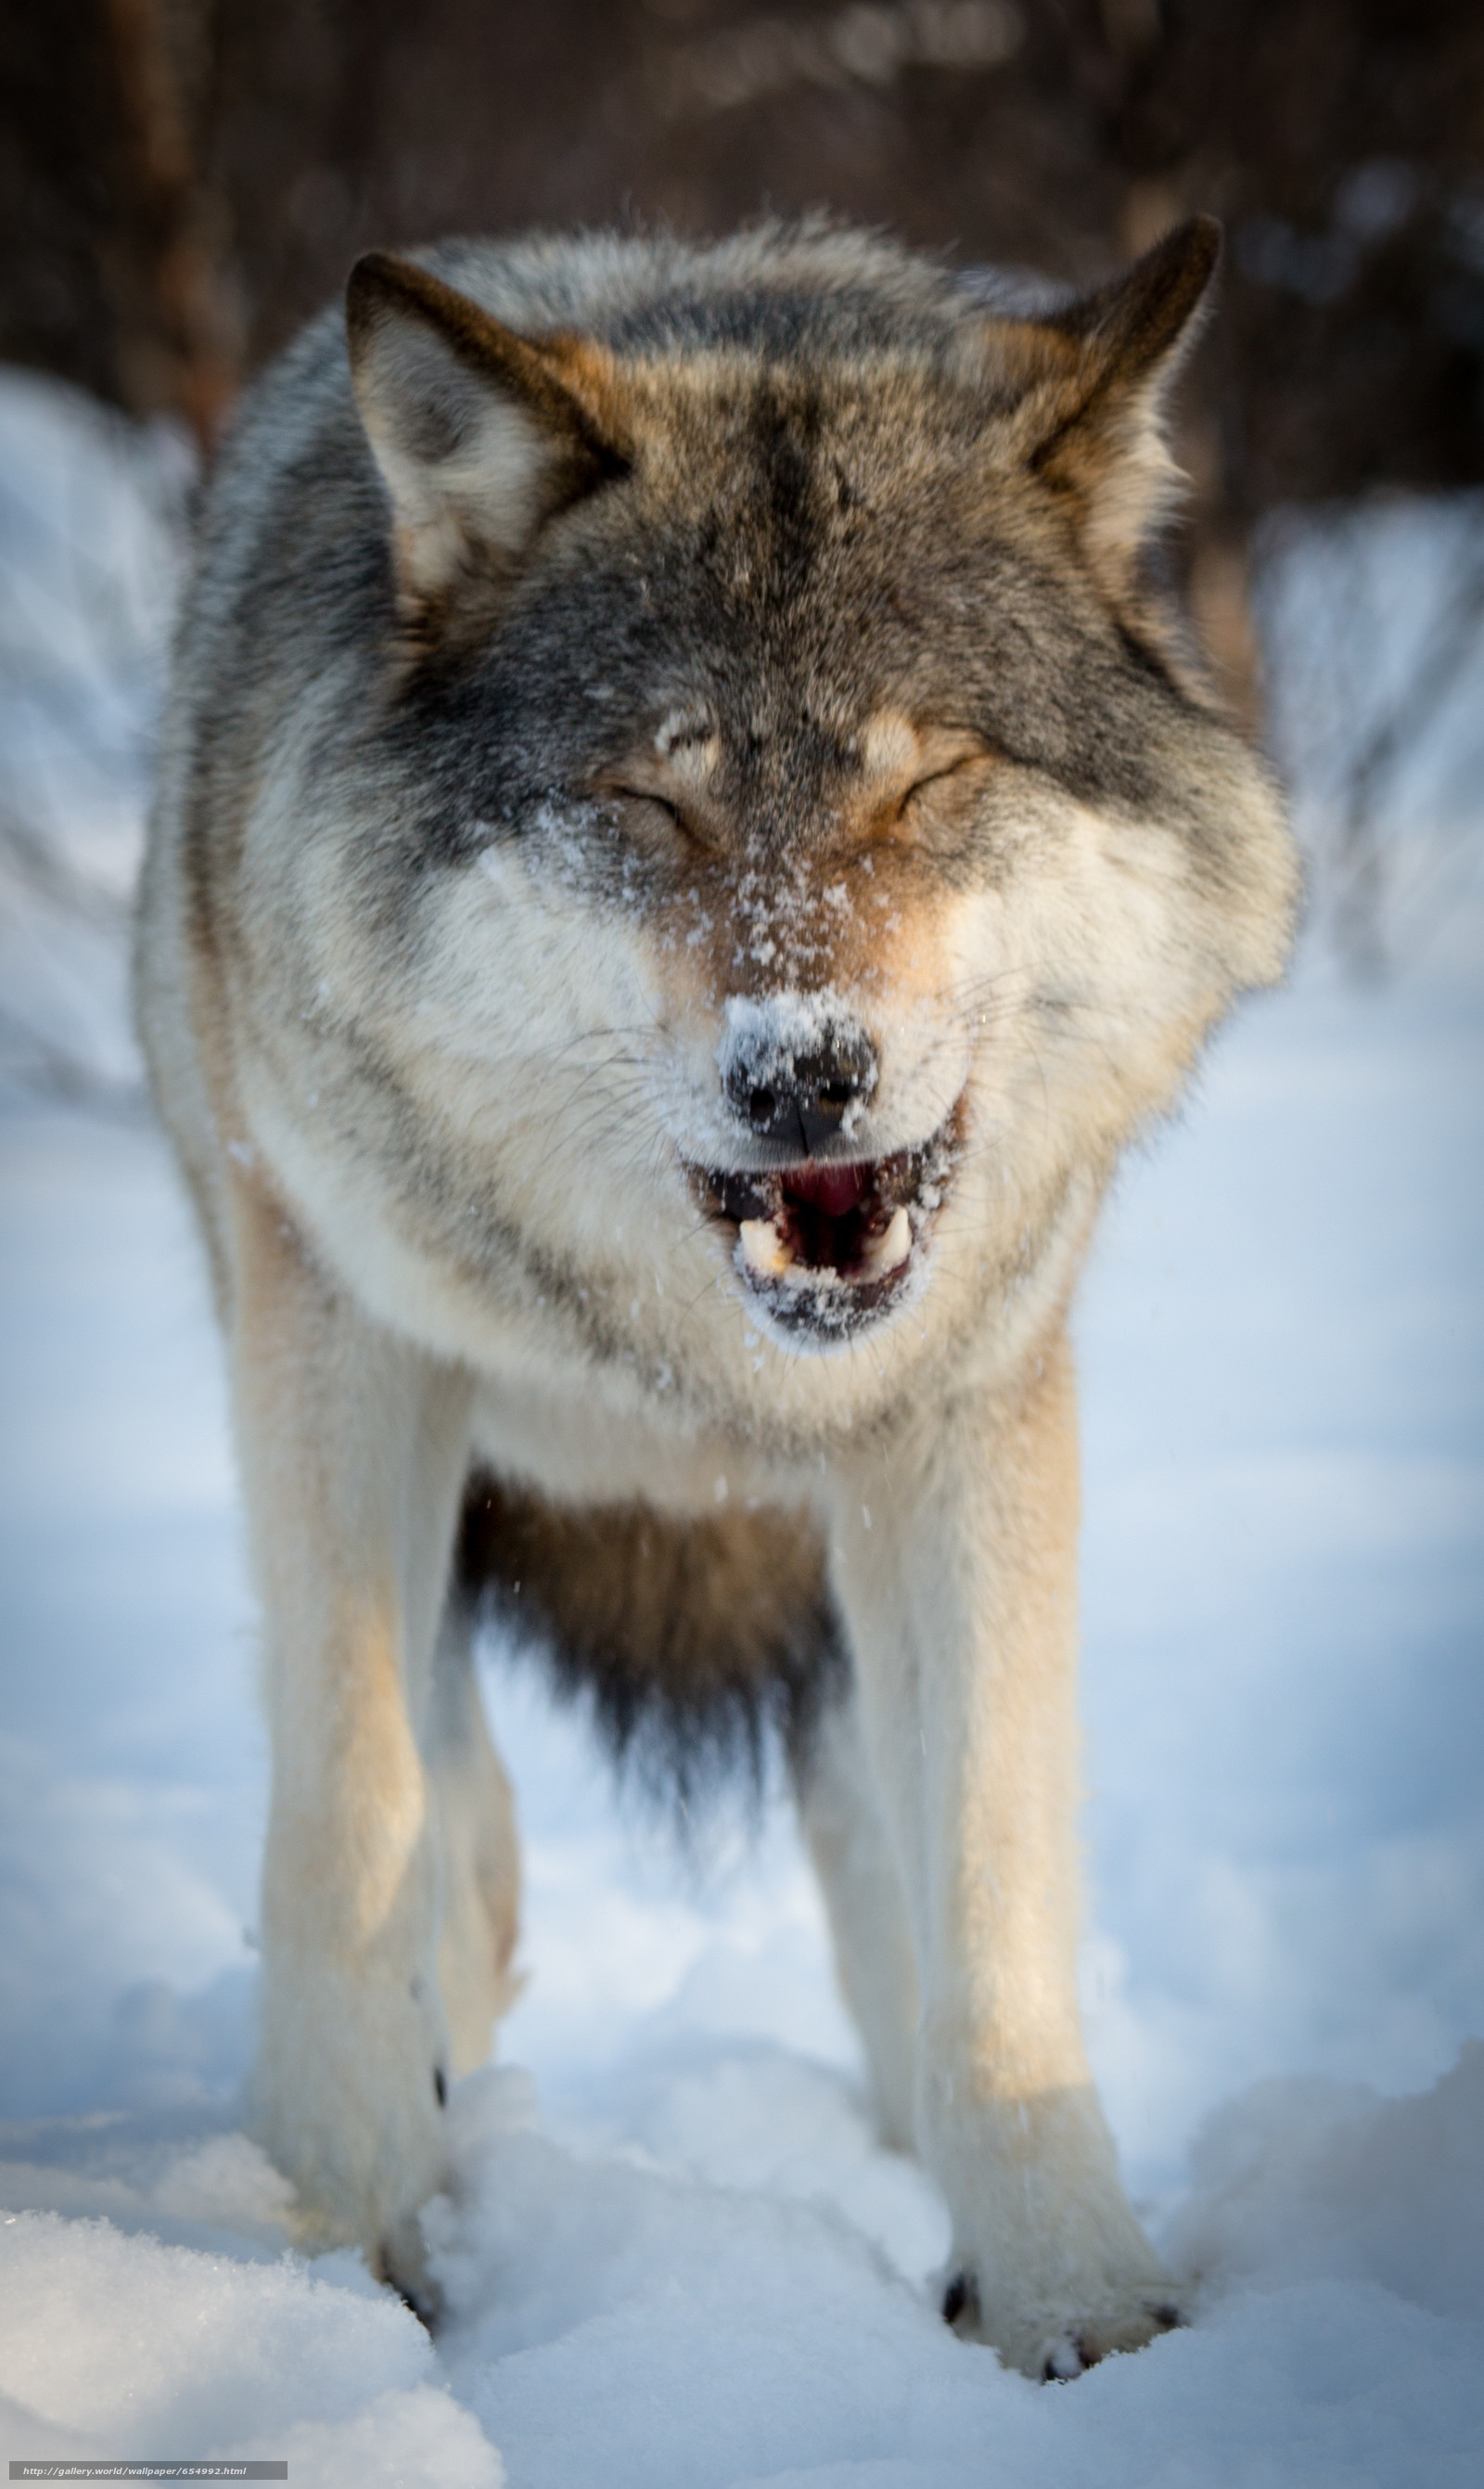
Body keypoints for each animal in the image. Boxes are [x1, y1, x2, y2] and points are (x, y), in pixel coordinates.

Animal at [135, 212, 1295, 2379]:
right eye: (650, 804)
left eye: (931, 780)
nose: (802, 1073)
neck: (685, 1359)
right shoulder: (340, 1350)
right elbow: (352, 1821)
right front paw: (332, 2255)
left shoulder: (969, 1413)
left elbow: (991, 1894)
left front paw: (1076, 2308)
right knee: (462, 1821)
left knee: (865, 1853)